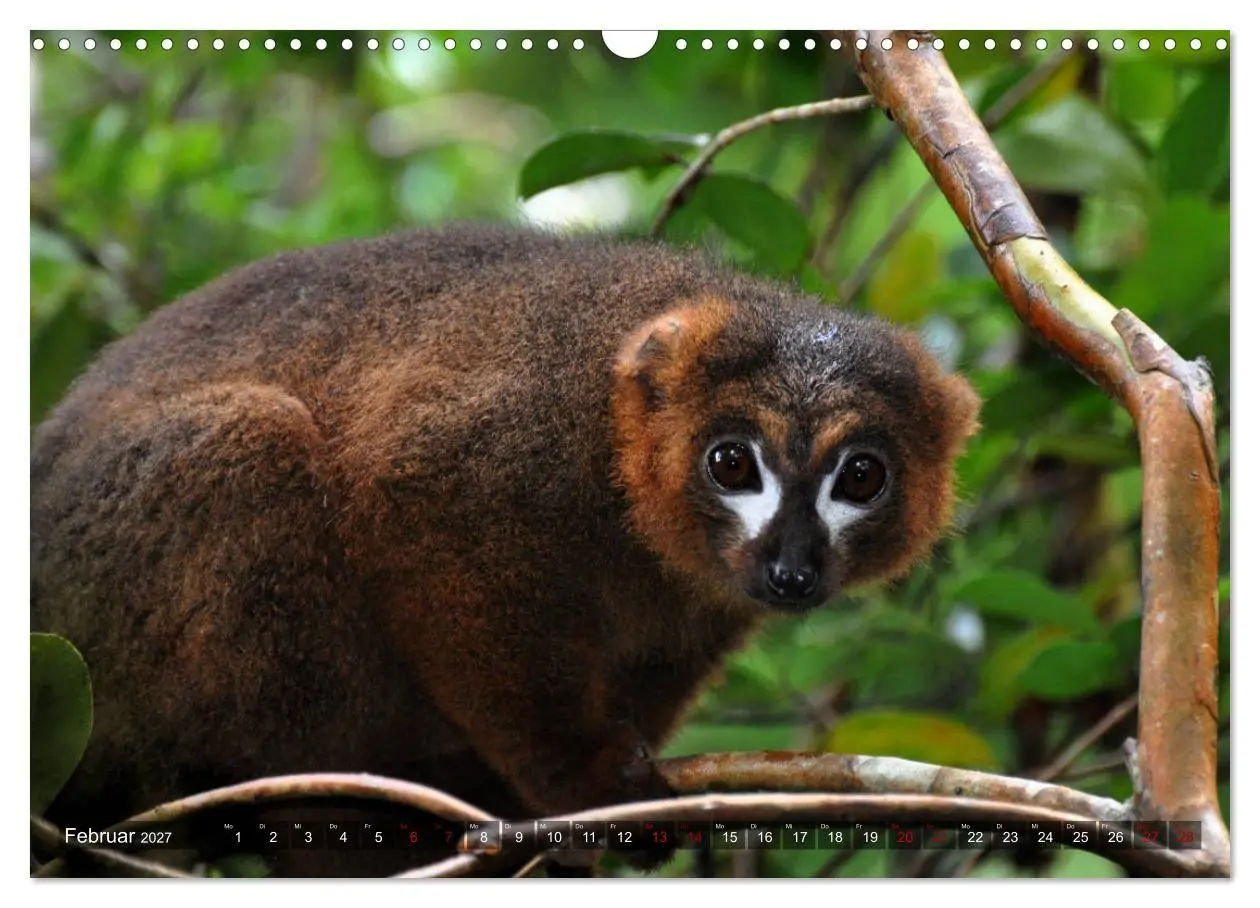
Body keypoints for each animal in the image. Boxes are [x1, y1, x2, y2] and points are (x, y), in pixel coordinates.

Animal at [30, 224, 980, 876]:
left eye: (861, 478)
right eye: (732, 463)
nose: (791, 567)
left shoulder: (703, 597)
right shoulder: (515, 434)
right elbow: (416, 498)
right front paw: (579, 783)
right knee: (248, 443)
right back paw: (331, 819)